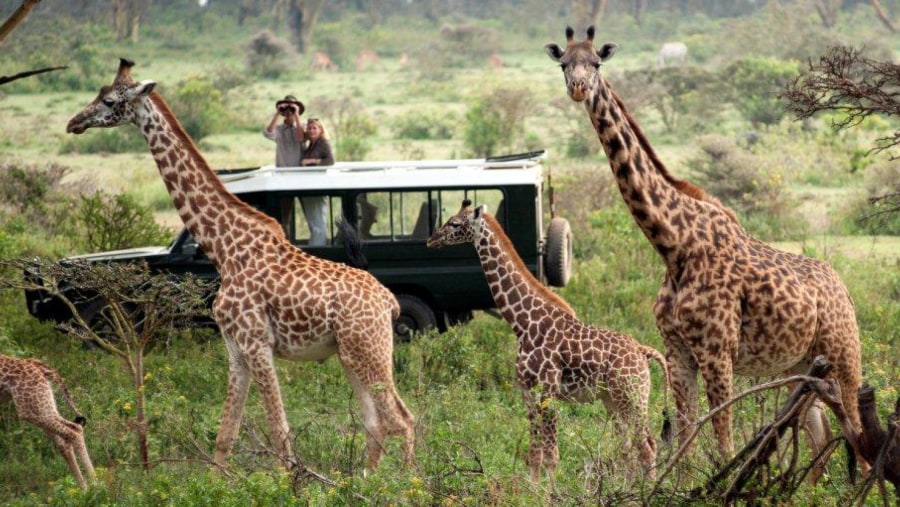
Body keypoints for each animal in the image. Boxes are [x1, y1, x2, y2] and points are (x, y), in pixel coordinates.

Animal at [0, 356, 95, 490]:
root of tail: (35, 364)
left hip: (31, 409)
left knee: (74, 430)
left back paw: (97, 485)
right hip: (42, 404)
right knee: (64, 442)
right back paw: (85, 489)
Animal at [65, 59, 416, 472]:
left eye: (108, 100)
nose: (73, 122)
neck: (224, 250)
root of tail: (388, 302)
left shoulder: (256, 343)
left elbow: (280, 433)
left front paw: (290, 481)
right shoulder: (234, 349)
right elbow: (224, 436)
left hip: (368, 348)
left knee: (402, 418)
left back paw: (408, 482)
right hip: (350, 353)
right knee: (375, 421)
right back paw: (363, 479)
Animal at [428, 200, 668, 482]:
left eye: (454, 223)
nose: (431, 240)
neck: (523, 324)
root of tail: (642, 351)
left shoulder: (548, 390)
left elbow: (553, 456)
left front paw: (550, 491)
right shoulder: (527, 391)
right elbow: (535, 454)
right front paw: (533, 490)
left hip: (633, 397)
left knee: (647, 446)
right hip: (612, 400)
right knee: (628, 447)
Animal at [540, 24, 864, 476]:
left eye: (597, 63)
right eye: (563, 64)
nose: (578, 88)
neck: (673, 245)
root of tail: (844, 289)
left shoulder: (717, 351)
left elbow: (722, 437)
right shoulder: (677, 352)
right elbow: (685, 437)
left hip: (844, 357)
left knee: (858, 434)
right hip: (803, 366)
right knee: (820, 438)